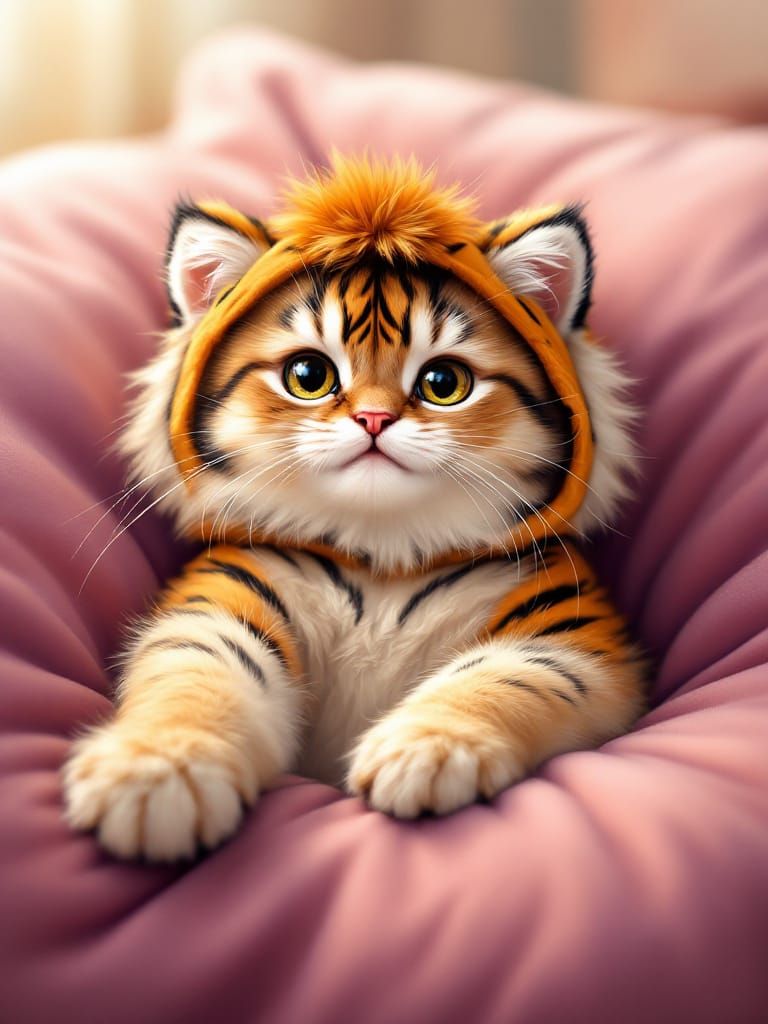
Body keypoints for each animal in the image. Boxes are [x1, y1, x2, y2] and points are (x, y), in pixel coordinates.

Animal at [63, 153, 646, 861]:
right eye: (309, 376)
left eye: (443, 383)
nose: (373, 419)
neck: (382, 552)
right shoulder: (220, 605)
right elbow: (194, 680)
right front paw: (155, 774)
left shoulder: (567, 637)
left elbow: (501, 679)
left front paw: (427, 752)